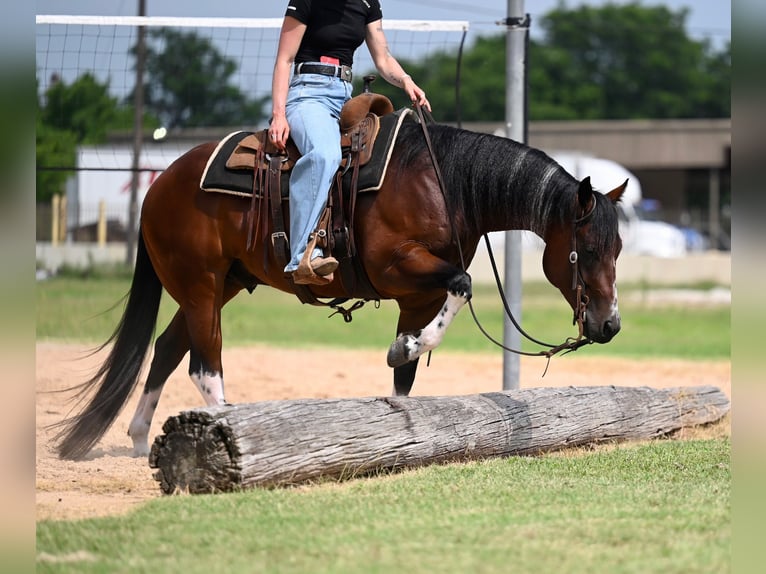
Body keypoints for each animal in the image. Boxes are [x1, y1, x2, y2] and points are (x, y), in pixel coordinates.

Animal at [54, 115, 626, 460]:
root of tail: (159, 186)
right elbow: (462, 287)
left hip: (223, 285)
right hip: (199, 284)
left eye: (618, 248)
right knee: (202, 363)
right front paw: (405, 348)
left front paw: (404, 374)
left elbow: (405, 379)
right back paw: (229, 430)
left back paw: (138, 440)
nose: (609, 324)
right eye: (586, 251)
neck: (444, 184)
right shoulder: (400, 269)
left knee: (168, 346)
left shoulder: (416, 296)